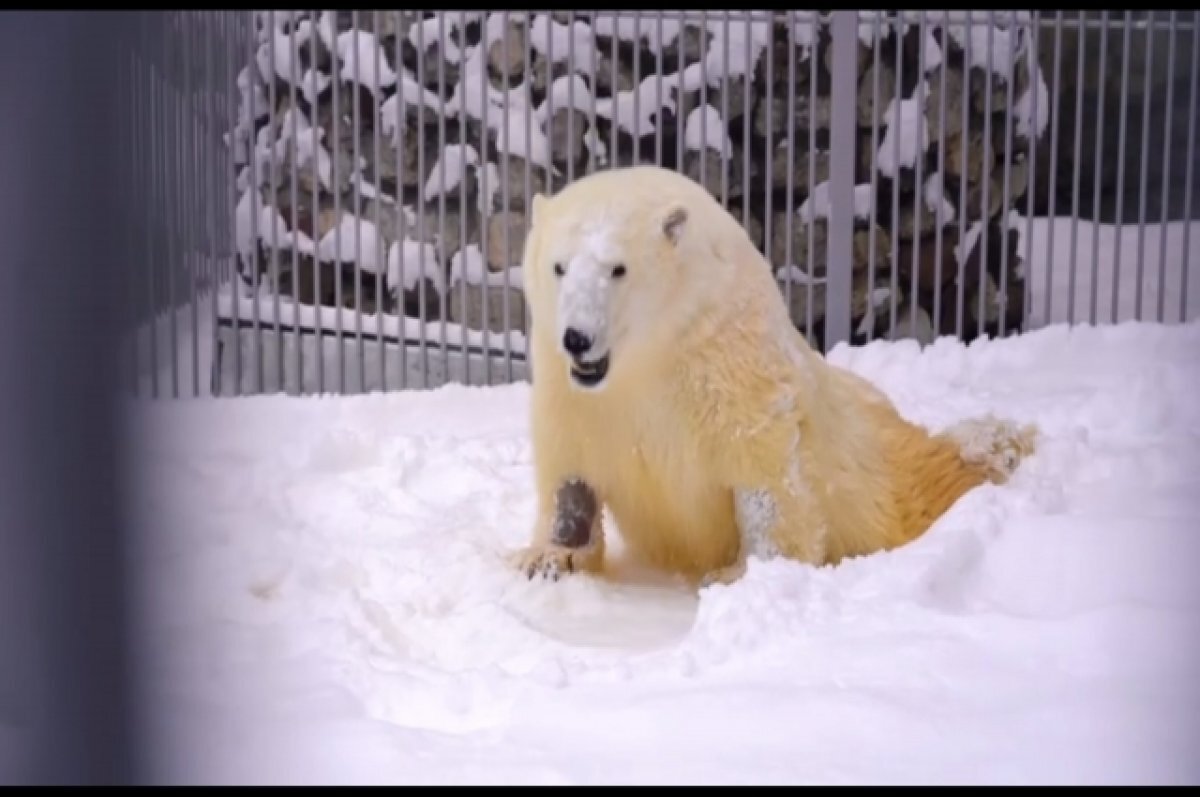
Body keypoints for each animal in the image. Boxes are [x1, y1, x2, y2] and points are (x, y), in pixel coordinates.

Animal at [511, 163, 1036, 585]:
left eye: (617, 268)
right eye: (559, 266)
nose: (577, 337)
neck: (650, 352)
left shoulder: (729, 360)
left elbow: (765, 473)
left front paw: (743, 572)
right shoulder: (571, 389)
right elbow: (571, 466)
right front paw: (548, 558)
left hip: (880, 468)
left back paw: (1002, 445)